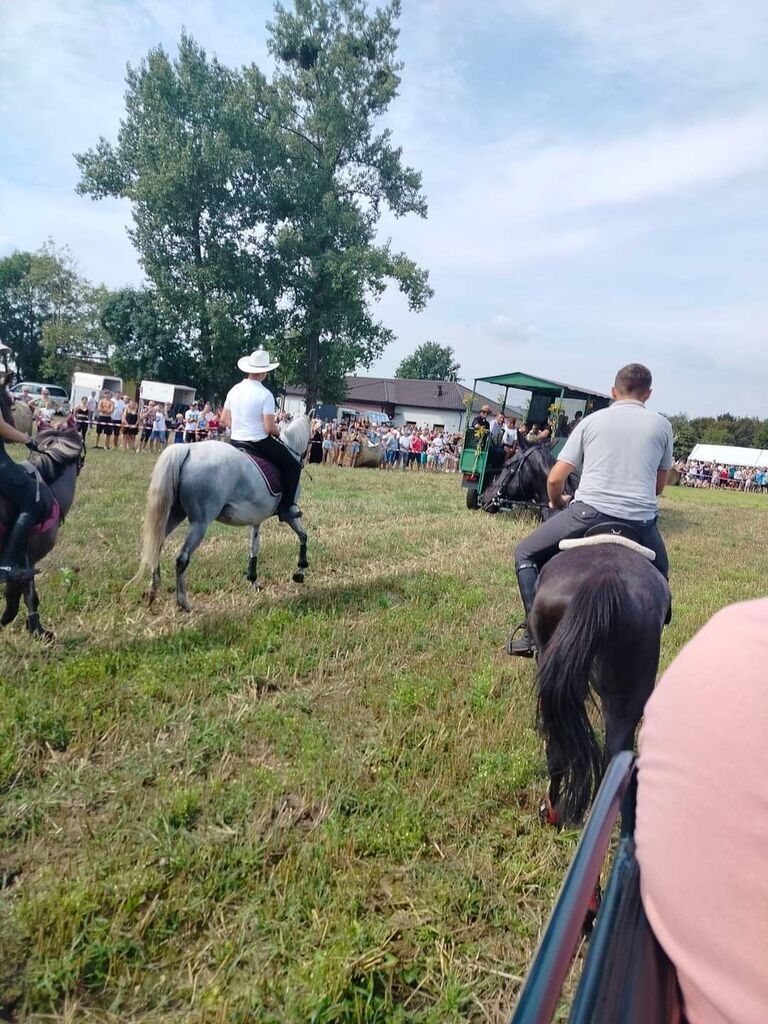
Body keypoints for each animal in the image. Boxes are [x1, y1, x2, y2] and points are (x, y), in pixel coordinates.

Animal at [136, 413, 313, 606]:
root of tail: (188, 449)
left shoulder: (256, 519)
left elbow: (254, 547)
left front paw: (253, 580)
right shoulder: (289, 514)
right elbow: (303, 536)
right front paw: (300, 572)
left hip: (174, 514)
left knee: (157, 543)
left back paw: (153, 590)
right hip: (200, 523)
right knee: (182, 558)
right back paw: (183, 602)